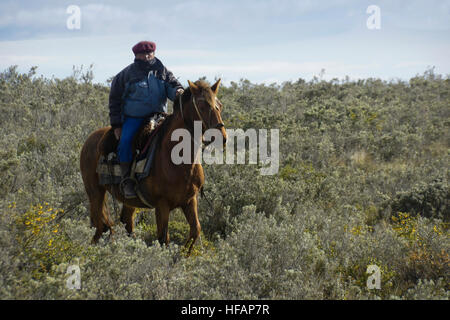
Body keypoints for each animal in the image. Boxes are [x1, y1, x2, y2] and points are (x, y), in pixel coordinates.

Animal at [79, 79, 227, 254]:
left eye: (219, 105)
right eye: (202, 105)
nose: (222, 137)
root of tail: (91, 139)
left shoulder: (190, 201)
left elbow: (195, 230)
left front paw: (181, 256)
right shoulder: (162, 205)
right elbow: (163, 239)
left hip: (129, 201)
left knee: (125, 223)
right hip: (95, 192)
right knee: (99, 228)